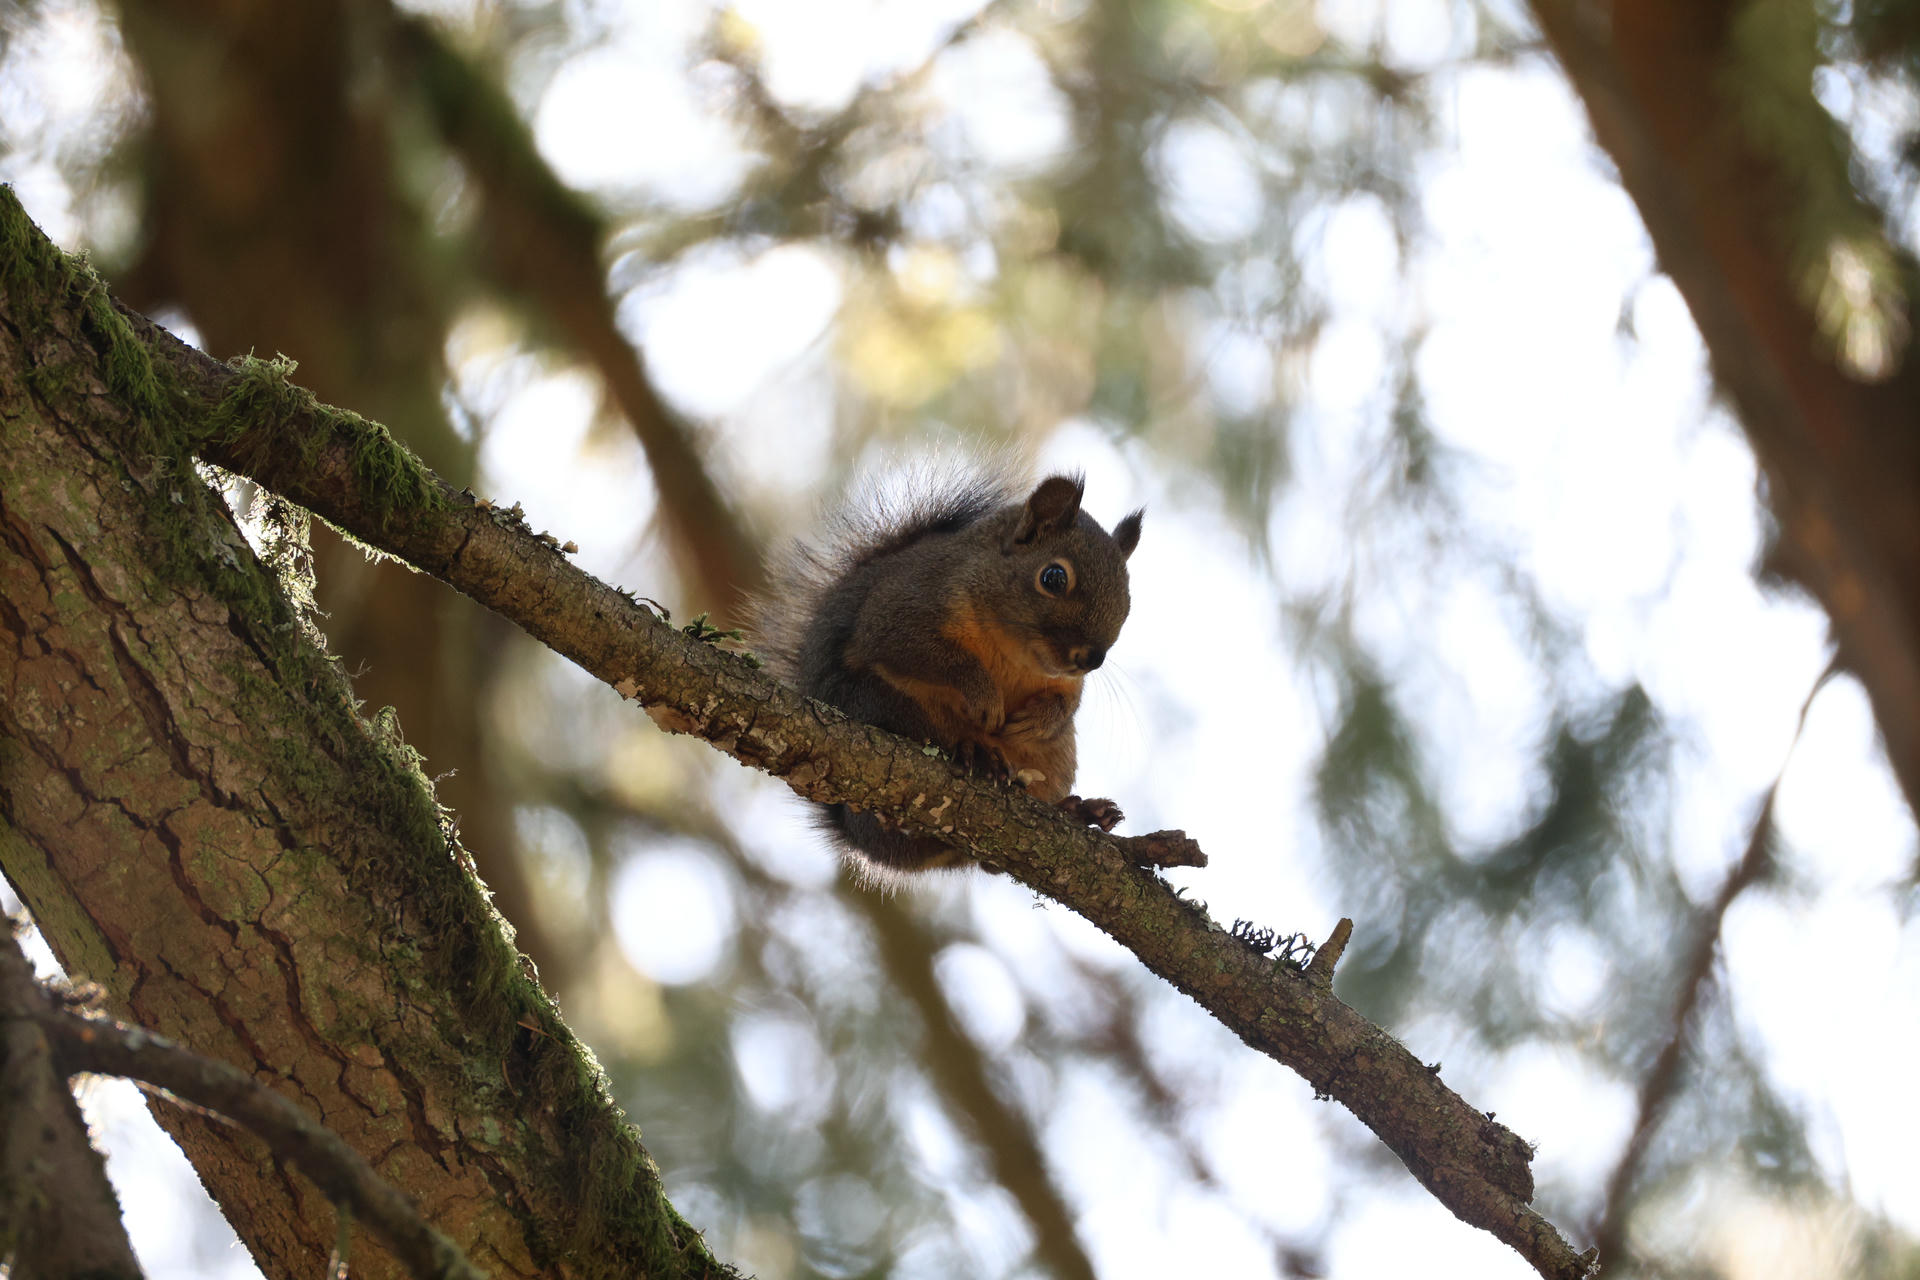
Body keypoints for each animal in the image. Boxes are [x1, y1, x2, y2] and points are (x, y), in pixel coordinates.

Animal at [753, 467, 1143, 881]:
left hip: (1056, 758)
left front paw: (1037, 720)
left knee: (988, 863)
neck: (1014, 650)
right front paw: (983, 695)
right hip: (880, 702)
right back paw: (976, 754)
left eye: (1128, 598)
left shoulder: (1066, 681)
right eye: (1053, 577)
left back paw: (1077, 810)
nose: (1093, 658)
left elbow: (1067, 704)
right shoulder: (904, 607)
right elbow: (927, 654)